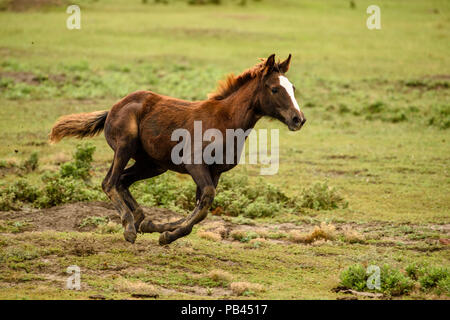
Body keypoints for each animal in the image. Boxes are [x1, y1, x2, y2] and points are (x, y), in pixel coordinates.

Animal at [51, 54, 308, 245]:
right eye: (274, 89)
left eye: (293, 87)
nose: (298, 119)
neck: (226, 121)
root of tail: (113, 108)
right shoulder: (194, 163)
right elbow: (205, 202)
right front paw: (167, 235)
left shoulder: (216, 171)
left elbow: (201, 207)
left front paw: (161, 228)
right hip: (125, 146)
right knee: (109, 182)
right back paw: (129, 228)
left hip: (153, 165)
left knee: (123, 181)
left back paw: (142, 220)